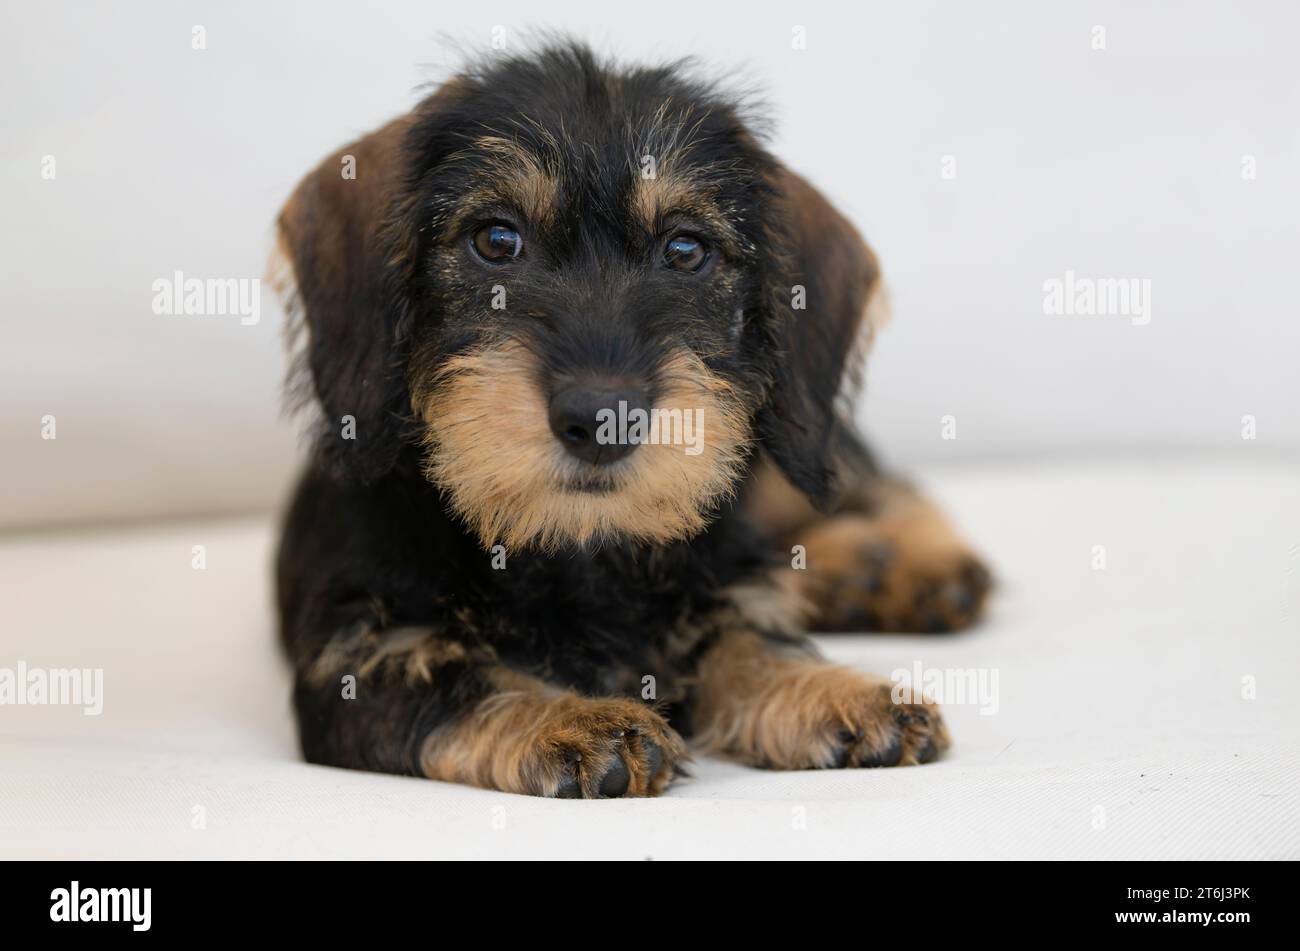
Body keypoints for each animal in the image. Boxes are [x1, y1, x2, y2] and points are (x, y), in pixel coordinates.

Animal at [269, 40, 987, 795]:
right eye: (496, 240)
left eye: (686, 250)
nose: (601, 418)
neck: (577, 551)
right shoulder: (358, 664)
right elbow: (465, 682)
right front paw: (573, 721)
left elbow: (747, 641)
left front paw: (836, 691)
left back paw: (913, 565)